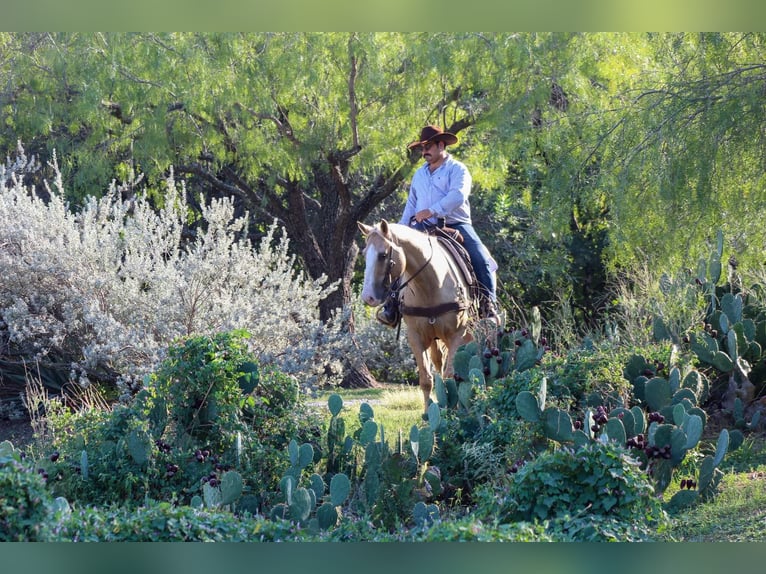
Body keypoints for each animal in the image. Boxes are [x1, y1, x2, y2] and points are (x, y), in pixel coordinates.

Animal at [358, 219, 476, 414]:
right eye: (364, 254)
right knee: (438, 363)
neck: (432, 284)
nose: (368, 297)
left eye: (383, 255)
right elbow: (426, 379)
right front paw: (429, 414)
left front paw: (454, 412)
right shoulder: (416, 337)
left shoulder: (457, 335)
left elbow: (451, 375)